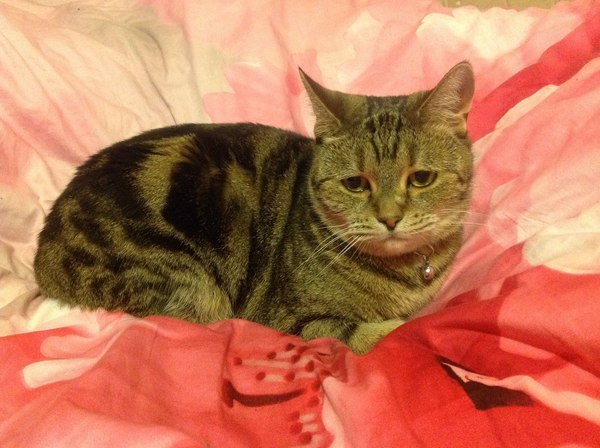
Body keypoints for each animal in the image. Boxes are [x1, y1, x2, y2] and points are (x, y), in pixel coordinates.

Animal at [34, 61, 475, 354]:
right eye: (355, 184)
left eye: (421, 178)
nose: (390, 218)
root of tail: (44, 257)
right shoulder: (287, 318)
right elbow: (368, 331)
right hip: (191, 285)